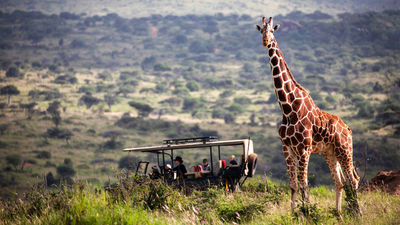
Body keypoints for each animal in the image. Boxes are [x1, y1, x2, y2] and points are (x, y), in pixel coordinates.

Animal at [258, 17, 360, 213]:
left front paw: (306, 213)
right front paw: (294, 214)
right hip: (330, 153)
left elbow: (304, 184)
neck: (288, 107)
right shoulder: (287, 148)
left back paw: (358, 214)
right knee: (341, 182)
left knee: (353, 180)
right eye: (261, 30)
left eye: (272, 30)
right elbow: (293, 185)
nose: (265, 41)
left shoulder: (304, 149)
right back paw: (340, 214)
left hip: (345, 150)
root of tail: (348, 129)